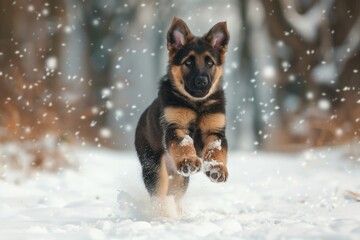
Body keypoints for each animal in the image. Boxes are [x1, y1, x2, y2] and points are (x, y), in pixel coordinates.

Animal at [134, 17, 229, 214]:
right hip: (154, 167)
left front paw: (217, 169)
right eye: (188, 63)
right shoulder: (175, 127)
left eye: (210, 63)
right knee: (159, 195)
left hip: (180, 179)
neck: (197, 104)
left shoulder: (215, 132)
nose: (202, 81)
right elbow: (184, 145)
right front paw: (188, 160)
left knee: (175, 195)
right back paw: (163, 214)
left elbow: (216, 150)